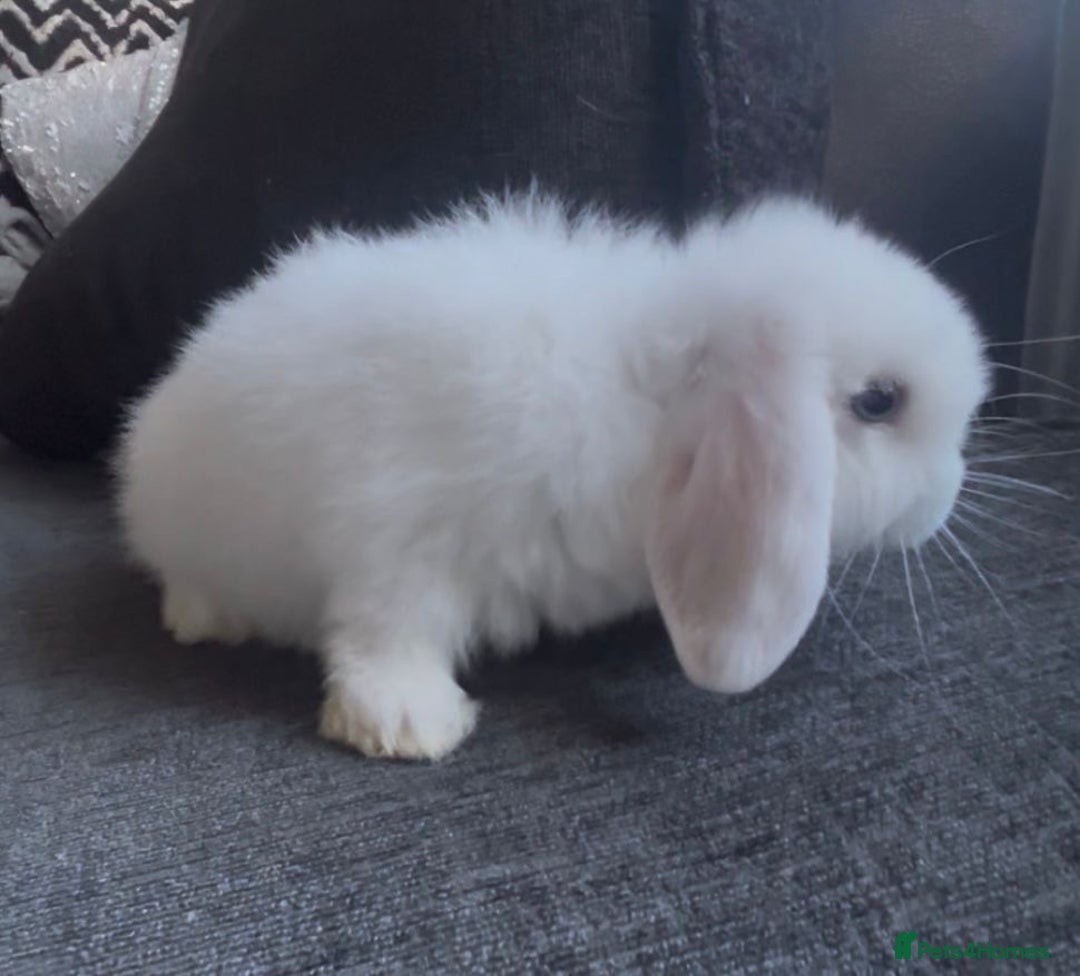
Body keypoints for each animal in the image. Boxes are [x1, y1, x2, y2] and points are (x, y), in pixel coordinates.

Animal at [116, 189, 989, 760]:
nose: (948, 492)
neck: (646, 401)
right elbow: (385, 627)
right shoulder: (399, 532)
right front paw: (408, 724)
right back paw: (206, 618)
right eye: (880, 401)